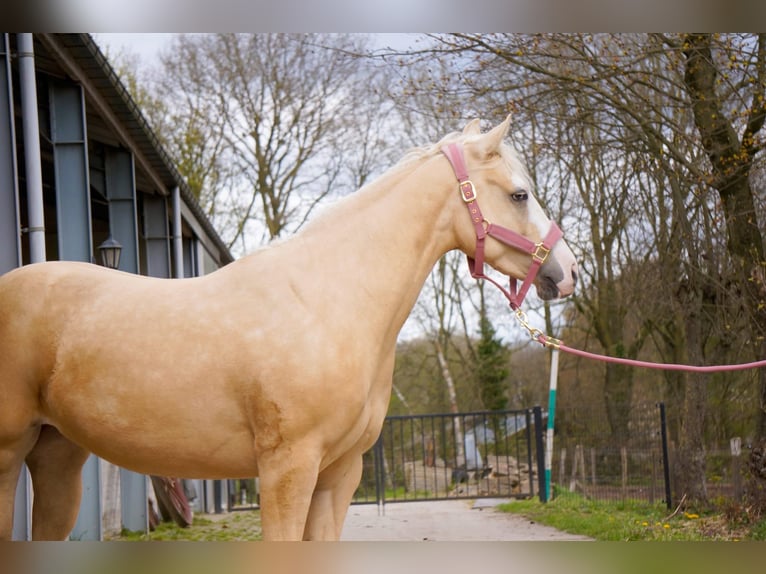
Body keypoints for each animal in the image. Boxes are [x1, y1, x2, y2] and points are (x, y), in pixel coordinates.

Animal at [0, 116, 577, 541]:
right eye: (520, 194)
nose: (567, 273)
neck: (327, 302)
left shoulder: (339, 475)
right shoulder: (287, 470)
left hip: (57, 456)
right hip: (9, 455)